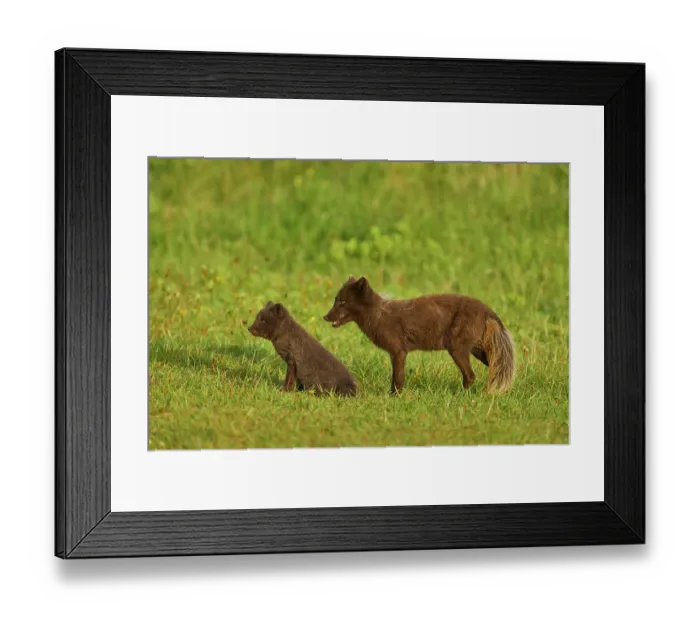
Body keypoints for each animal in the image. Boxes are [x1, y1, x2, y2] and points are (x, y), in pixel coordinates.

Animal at [323, 276, 515, 395]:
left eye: (343, 301)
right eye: (335, 300)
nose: (325, 317)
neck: (379, 315)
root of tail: (486, 308)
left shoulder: (399, 351)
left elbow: (398, 378)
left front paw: (395, 397)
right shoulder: (395, 353)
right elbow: (395, 378)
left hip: (457, 349)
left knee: (471, 375)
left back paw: (461, 395)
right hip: (477, 350)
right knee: (497, 367)